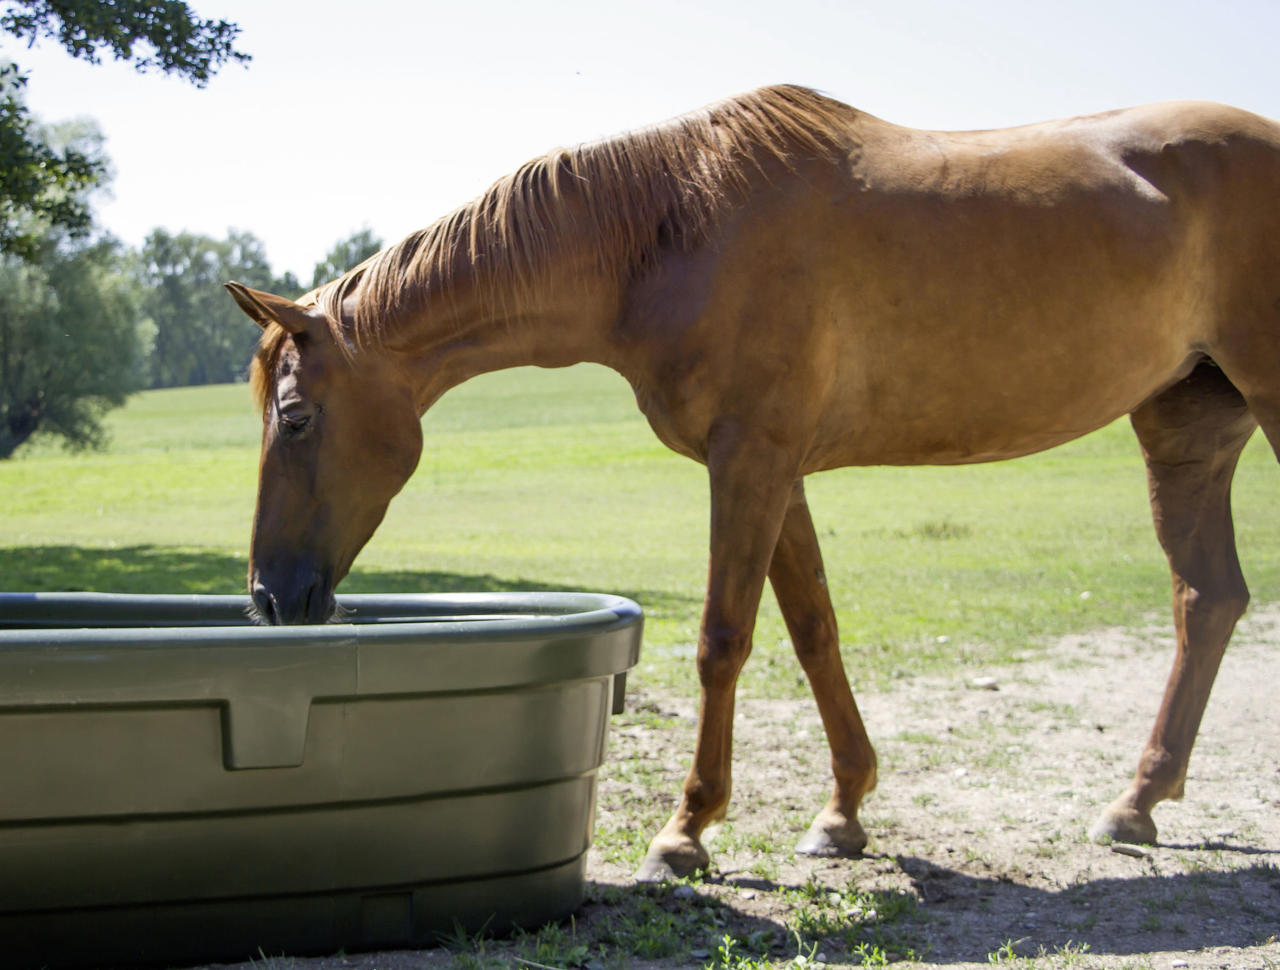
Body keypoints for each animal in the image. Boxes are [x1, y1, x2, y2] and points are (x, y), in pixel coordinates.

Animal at [227, 87, 1280, 885]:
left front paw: (685, 831)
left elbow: (722, 642)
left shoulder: (752, 463)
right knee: (1208, 600)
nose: (270, 599)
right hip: (1183, 432)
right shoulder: (778, 473)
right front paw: (843, 811)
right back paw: (1135, 804)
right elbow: (814, 631)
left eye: (297, 417)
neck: (674, 226)